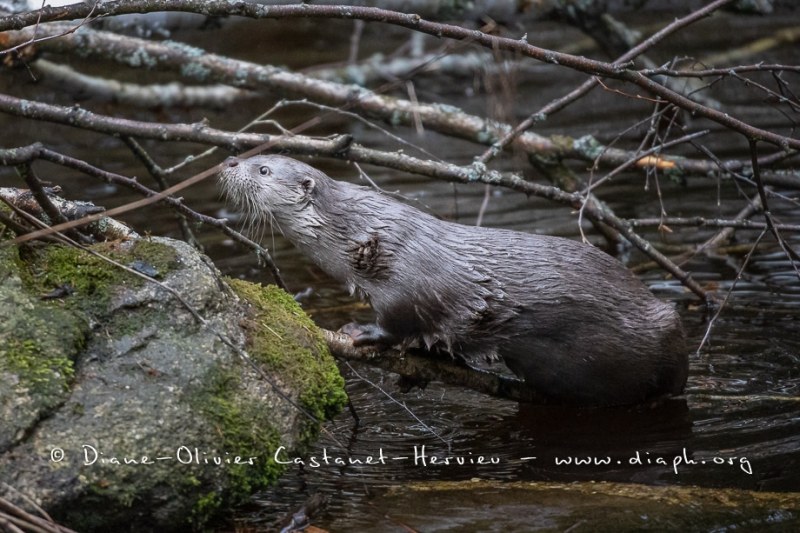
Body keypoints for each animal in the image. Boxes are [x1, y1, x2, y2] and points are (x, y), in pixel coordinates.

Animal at [219, 156, 688, 406]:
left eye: (263, 169)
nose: (228, 160)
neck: (366, 235)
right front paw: (417, 371)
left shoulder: (411, 277)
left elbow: (400, 317)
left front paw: (360, 331)